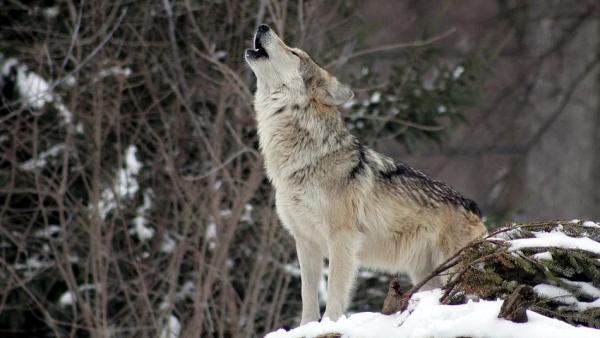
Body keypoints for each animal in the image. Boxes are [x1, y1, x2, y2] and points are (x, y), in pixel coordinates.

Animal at [244, 24, 488, 324]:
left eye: (294, 52)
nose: (262, 26)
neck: (304, 159)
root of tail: (474, 207)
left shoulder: (342, 238)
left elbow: (335, 292)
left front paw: (330, 324)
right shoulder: (305, 241)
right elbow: (307, 296)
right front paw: (307, 327)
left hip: (451, 268)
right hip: (425, 275)